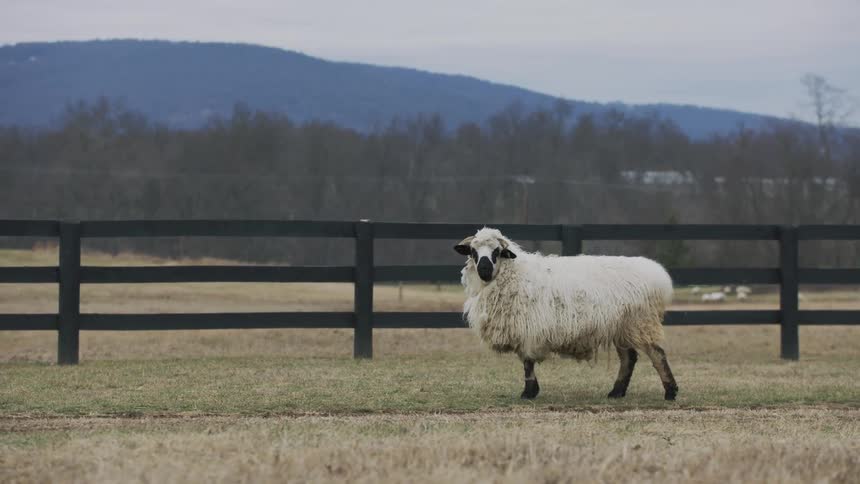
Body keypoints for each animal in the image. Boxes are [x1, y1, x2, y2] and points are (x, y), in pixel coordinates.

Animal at [455, 227, 678, 401]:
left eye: (497, 251)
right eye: (473, 251)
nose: (484, 269)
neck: (515, 273)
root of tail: (659, 276)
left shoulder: (528, 328)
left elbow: (527, 362)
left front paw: (529, 392)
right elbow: (526, 362)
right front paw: (531, 391)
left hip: (640, 322)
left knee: (657, 354)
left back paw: (670, 392)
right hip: (621, 326)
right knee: (628, 358)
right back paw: (616, 392)